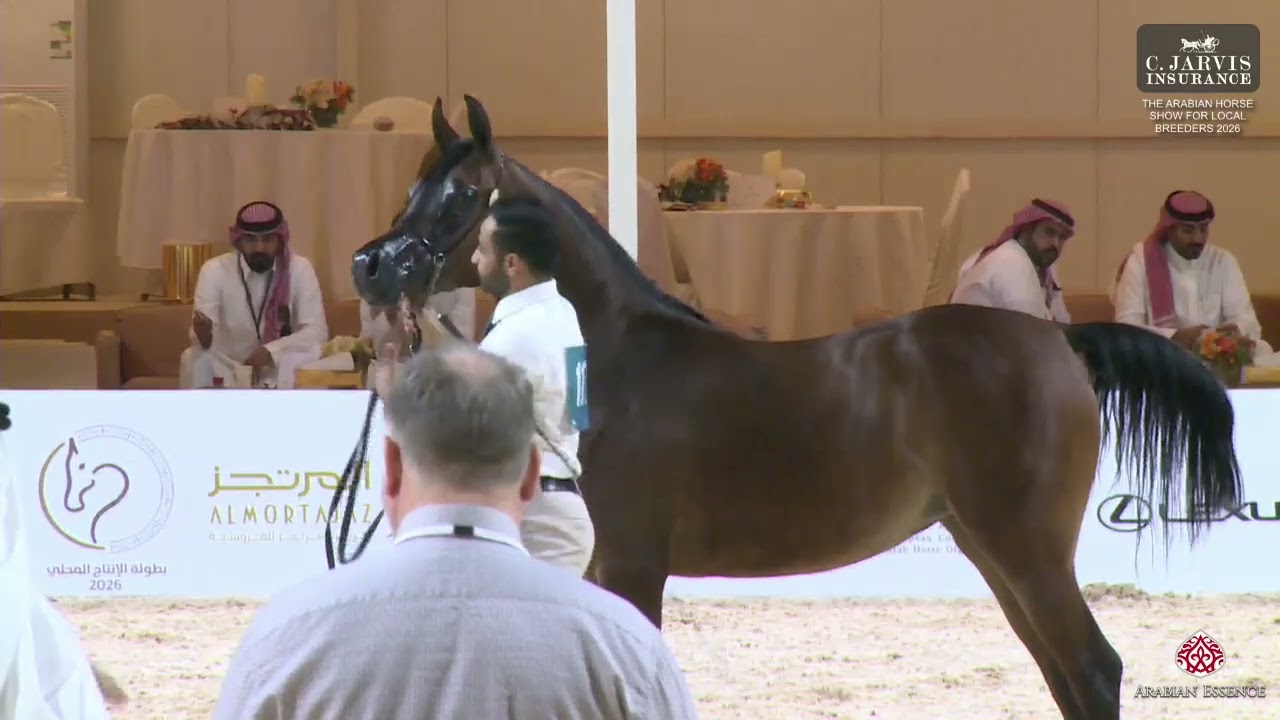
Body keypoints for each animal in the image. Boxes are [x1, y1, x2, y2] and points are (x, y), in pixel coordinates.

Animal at [348, 95, 1243, 719]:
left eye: (460, 194)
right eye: (412, 185)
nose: (370, 267)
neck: (611, 360)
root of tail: (1059, 341)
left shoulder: (632, 562)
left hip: (1026, 548)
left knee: (1092, 669)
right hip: (991, 546)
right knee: (1064, 675)